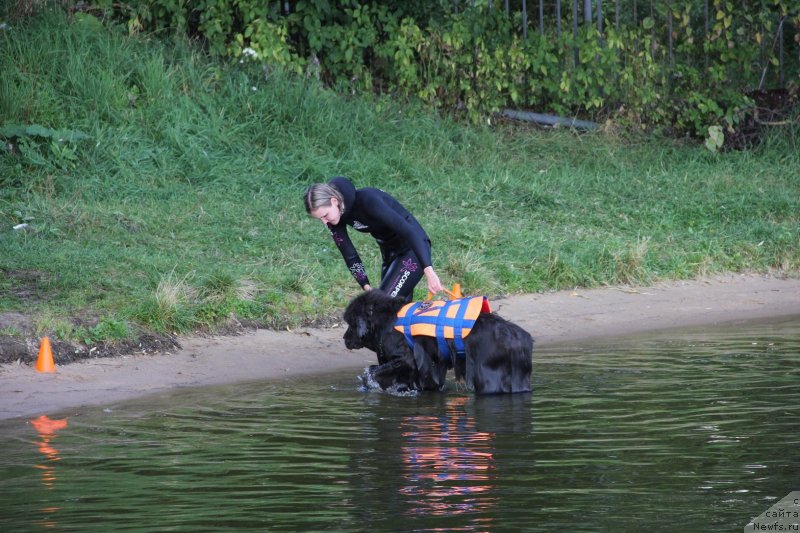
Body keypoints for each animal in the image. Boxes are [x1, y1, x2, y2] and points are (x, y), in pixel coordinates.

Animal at [342, 288, 536, 392]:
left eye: (351, 324)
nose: (344, 338)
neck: (386, 320)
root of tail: (518, 336)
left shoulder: (405, 359)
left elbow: (373, 371)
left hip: (488, 377)